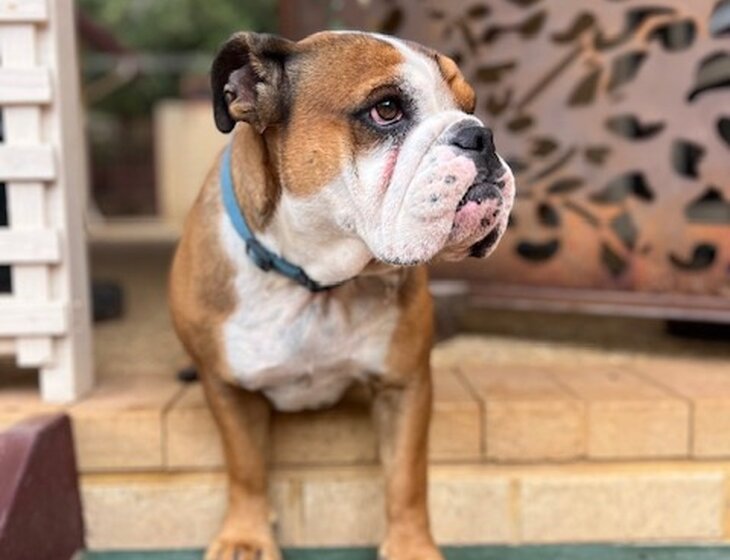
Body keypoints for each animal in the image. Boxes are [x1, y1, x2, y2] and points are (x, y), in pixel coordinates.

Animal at [170, 30, 515, 560]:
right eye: (386, 109)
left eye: (469, 106)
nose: (481, 135)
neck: (316, 280)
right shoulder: (228, 390)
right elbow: (245, 466)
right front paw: (246, 537)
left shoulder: (404, 385)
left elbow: (406, 477)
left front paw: (410, 546)